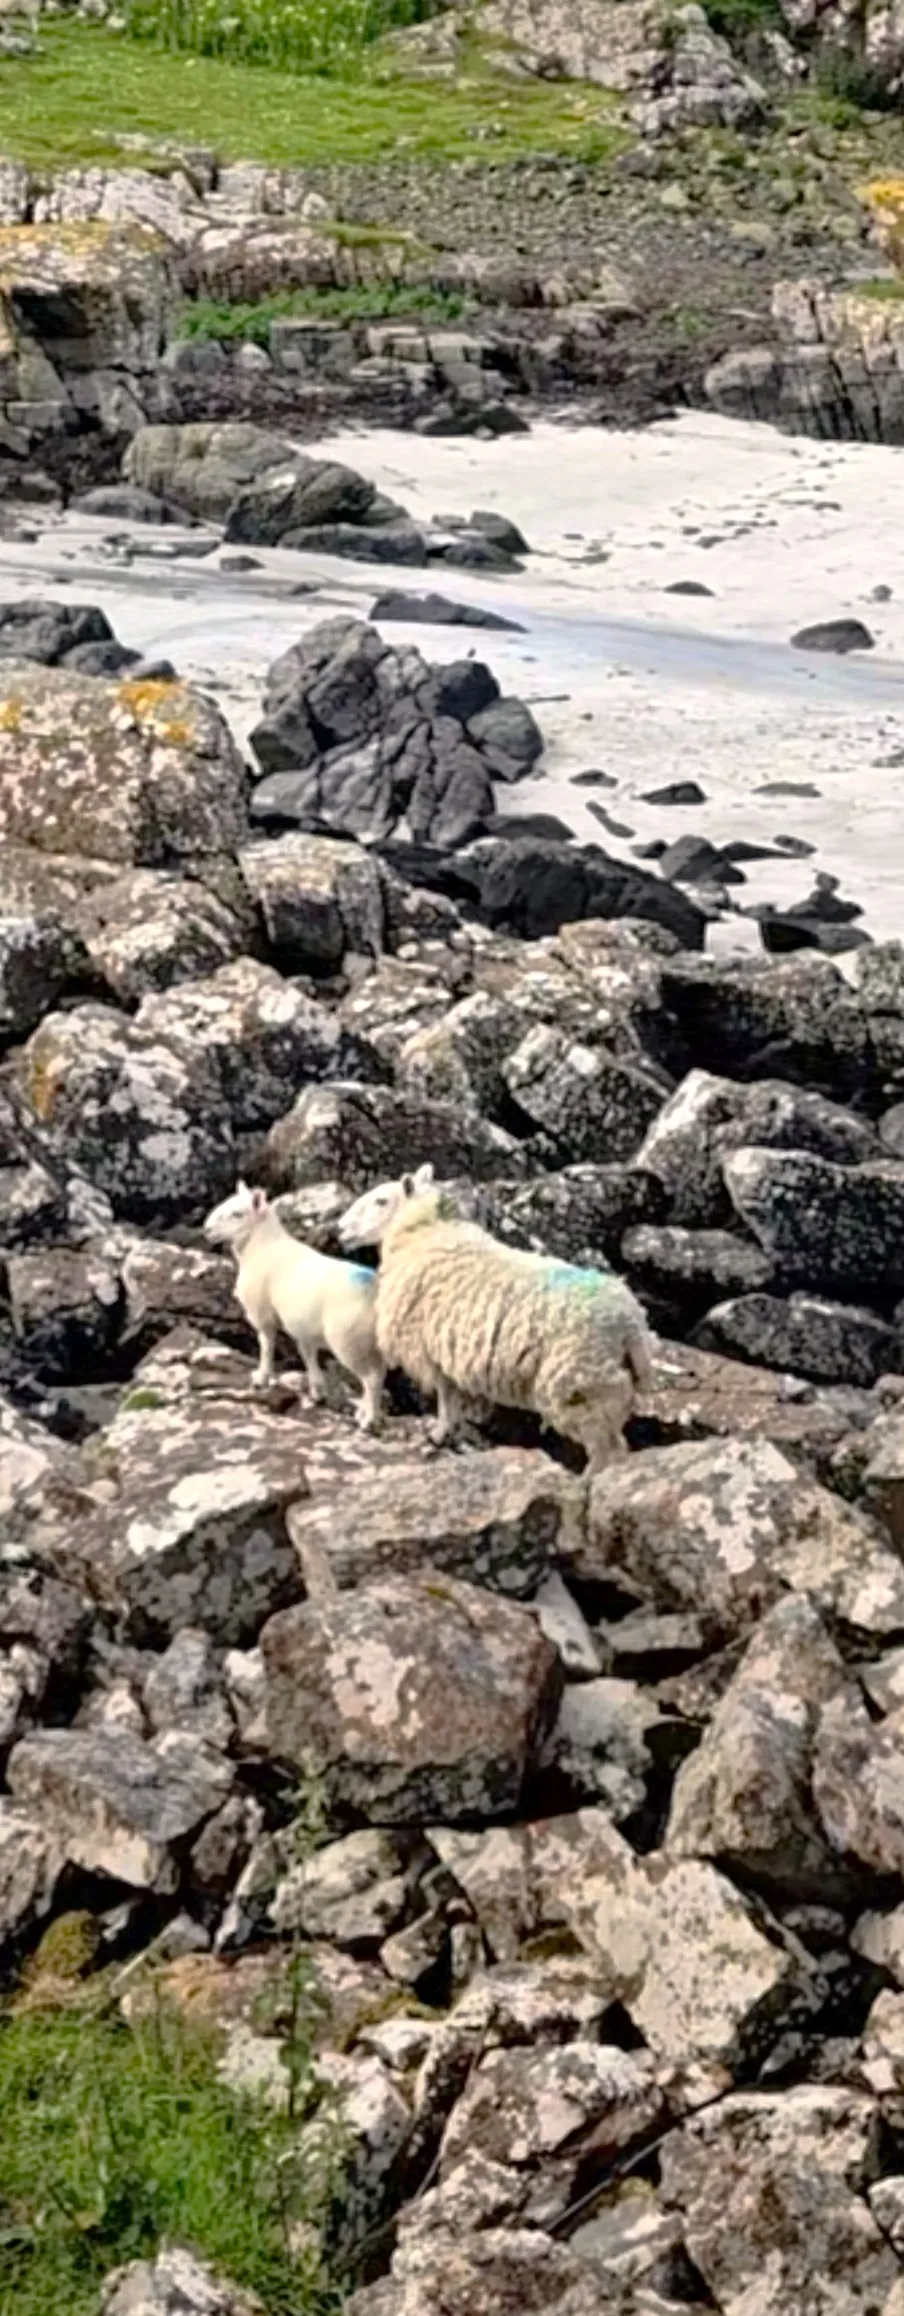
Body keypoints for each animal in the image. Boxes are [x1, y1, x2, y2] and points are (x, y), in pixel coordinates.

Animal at [203, 1181, 384, 1432]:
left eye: (236, 1214)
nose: (206, 1230)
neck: (262, 1247)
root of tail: (371, 1288)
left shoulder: (263, 1314)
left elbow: (266, 1345)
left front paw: (261, 1379)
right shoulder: (302, 1327)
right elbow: (307, 1355)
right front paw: (318, 1391)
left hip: (349, 1340)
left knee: (371, 1380)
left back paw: (369, 1420)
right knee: (378, 1376)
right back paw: (364, 1413)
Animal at [337, 1163, 653, 1471]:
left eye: (381, 1200)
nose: (339, 1229)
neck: (427, 1233)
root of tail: (632, 1325)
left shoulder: (429, 1346)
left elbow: (444, 1397)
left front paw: (438, 1435)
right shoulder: (445, 1349)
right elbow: (450, 1396)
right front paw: (447, 1433)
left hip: (580, 1385)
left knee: (607, 1451)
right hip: (601, 1388)